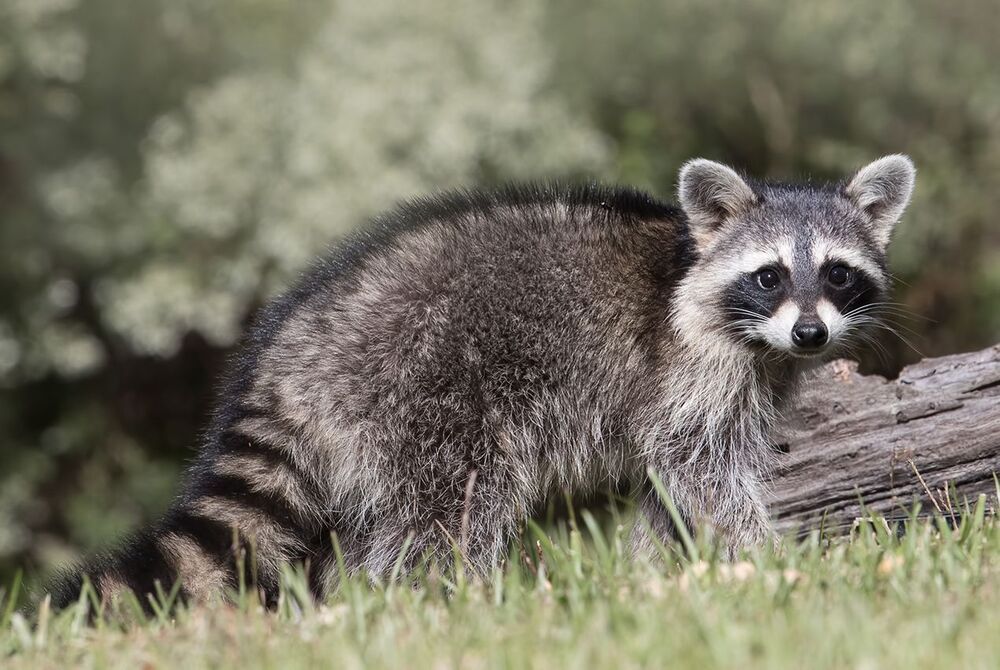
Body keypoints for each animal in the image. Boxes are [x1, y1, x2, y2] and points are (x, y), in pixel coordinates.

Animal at [50, 155, 915, 609]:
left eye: (836, 275)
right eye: (769, 276)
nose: (811, 335)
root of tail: (292, 349)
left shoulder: (748, 377)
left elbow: (674, 486)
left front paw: (659, 570)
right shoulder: (689, 368)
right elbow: (698, 467)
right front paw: (768, 558)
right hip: (426, 391)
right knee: (455, 509)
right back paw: (443, 599)